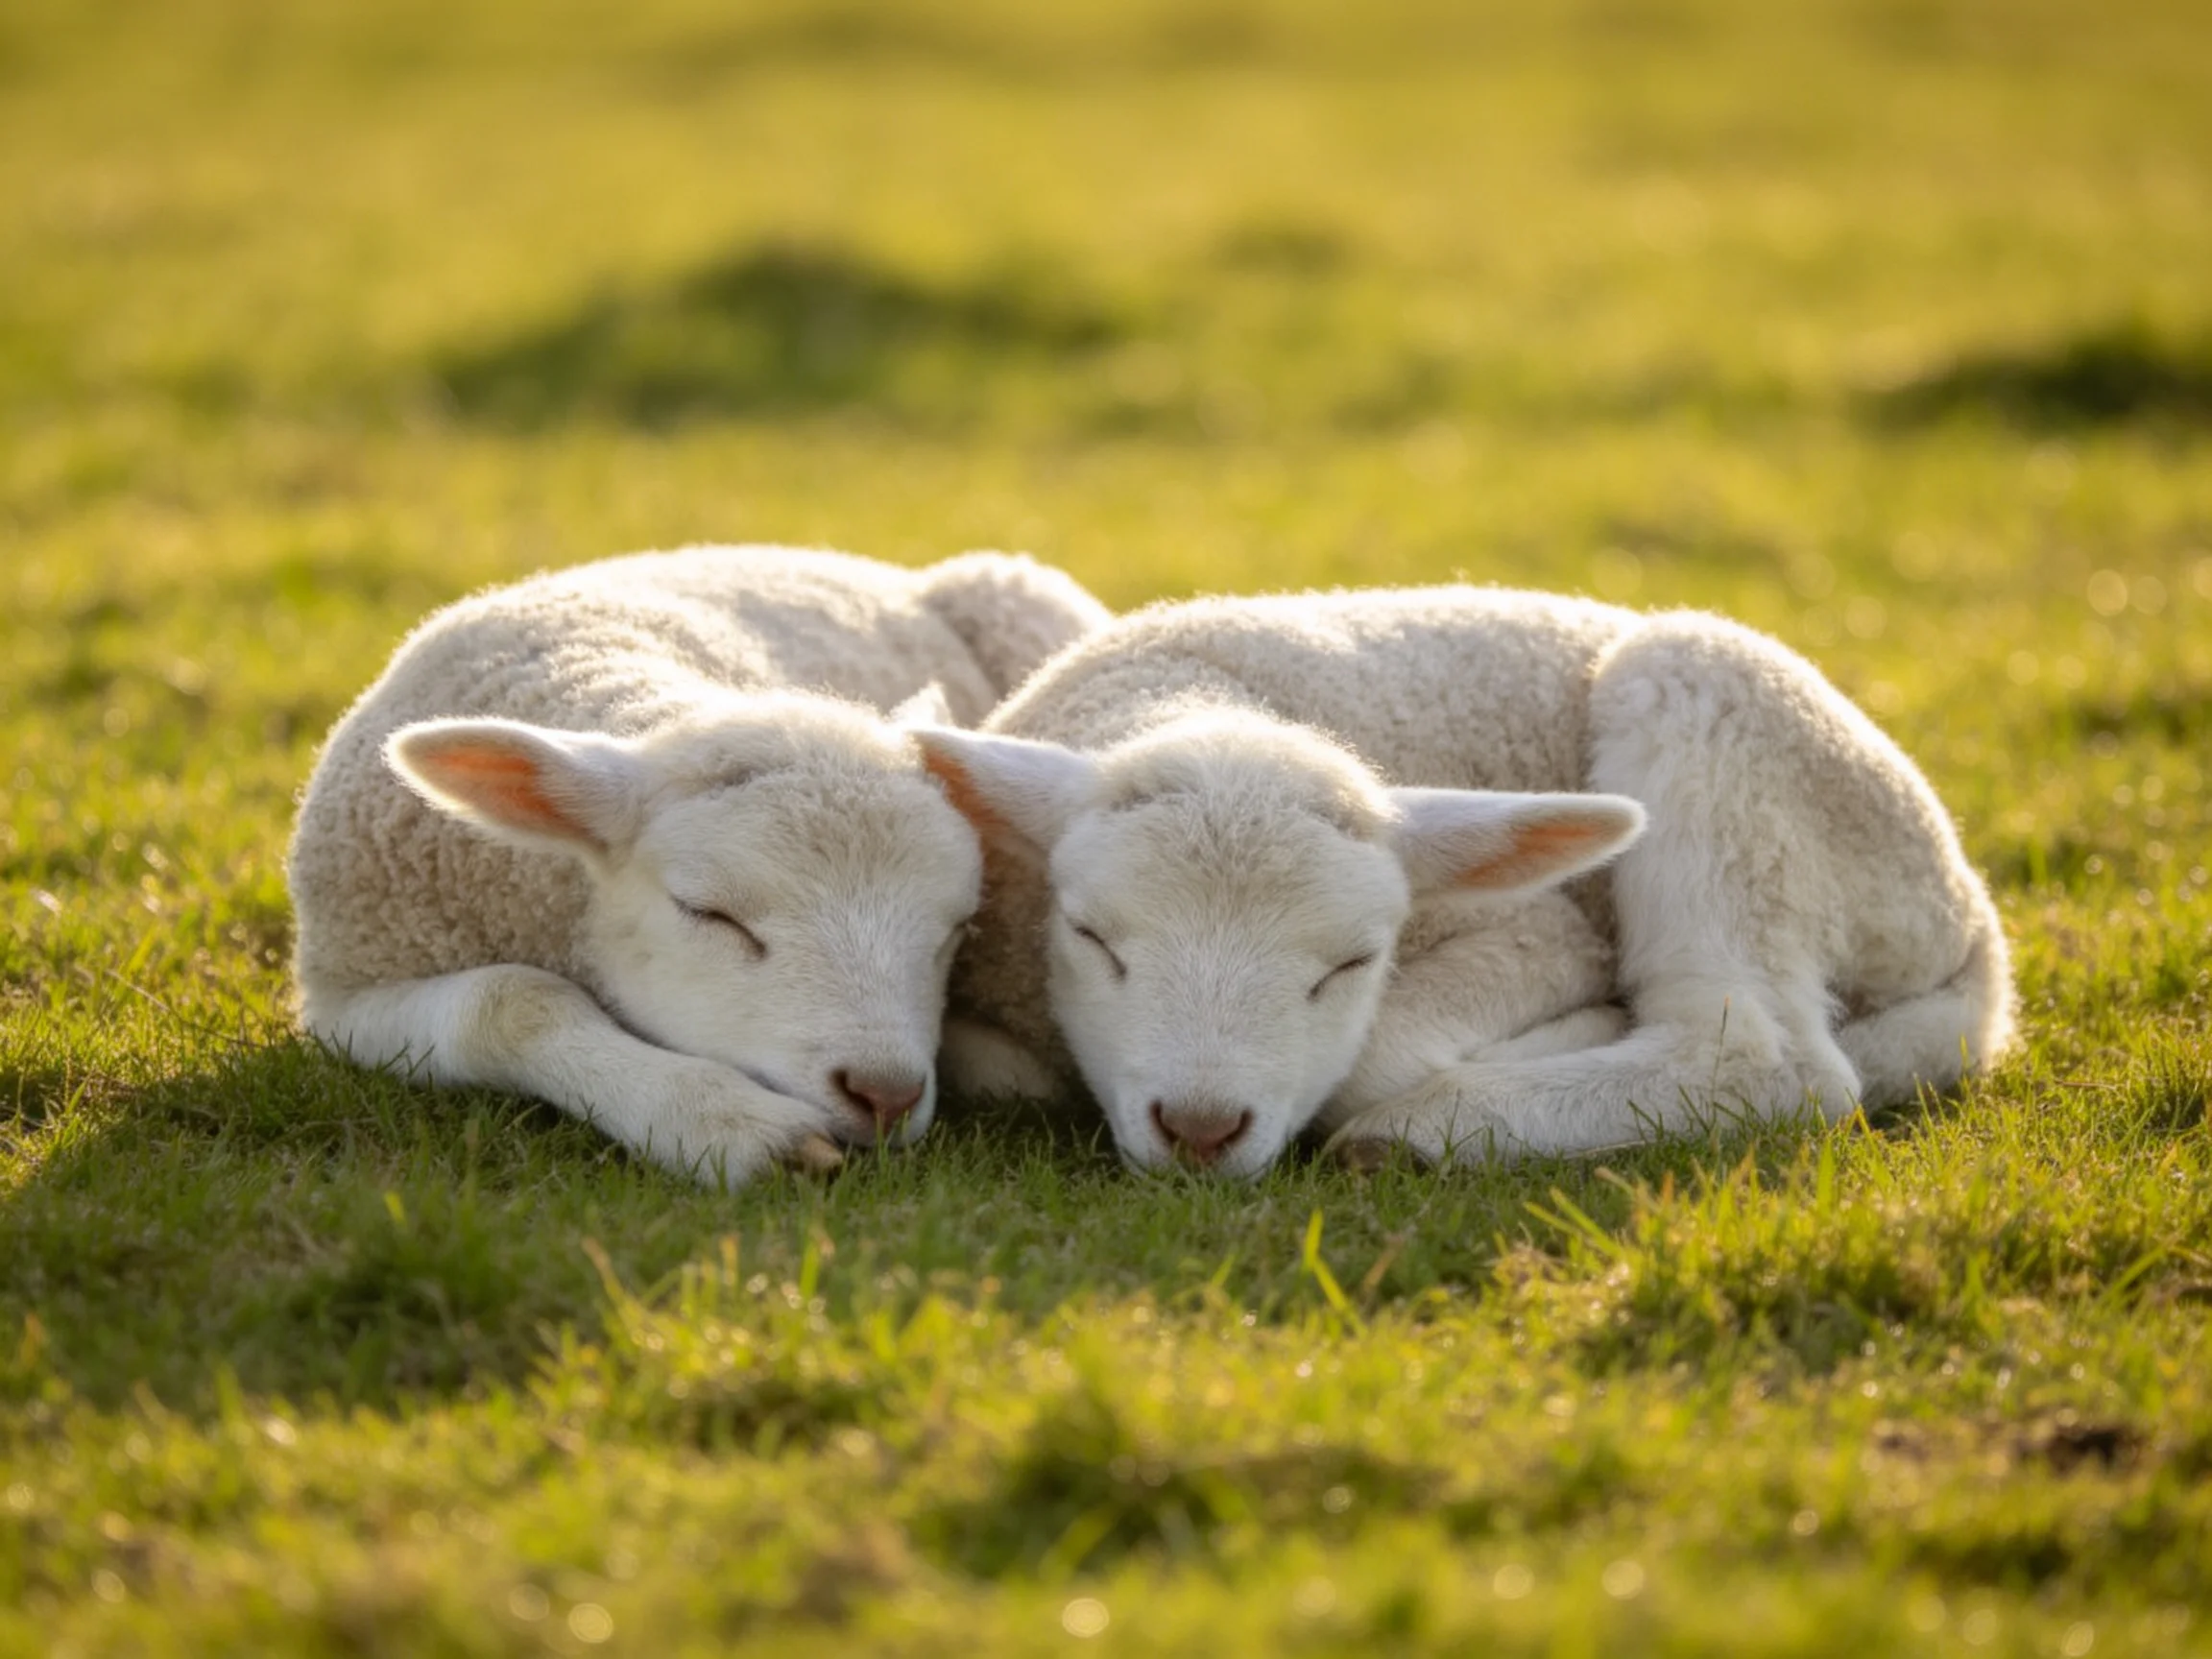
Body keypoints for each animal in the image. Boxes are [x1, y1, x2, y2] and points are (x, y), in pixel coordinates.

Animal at [288, 544, 1110, 1182]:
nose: (885, 1095)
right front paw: (719, 1119)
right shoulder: (343, 1001)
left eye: (955, 932)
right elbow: (509, 1001)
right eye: (709, 914)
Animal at [916, 585, 2013, 1176]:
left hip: (1727, 739)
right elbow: (1003, 1070)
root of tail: (1975, 923)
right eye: (1093, 938)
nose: (1199, 1129)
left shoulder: (1543, 932)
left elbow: (1374, 1056)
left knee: (1765, 1058)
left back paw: (1424, 1130)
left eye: (1349, 967)